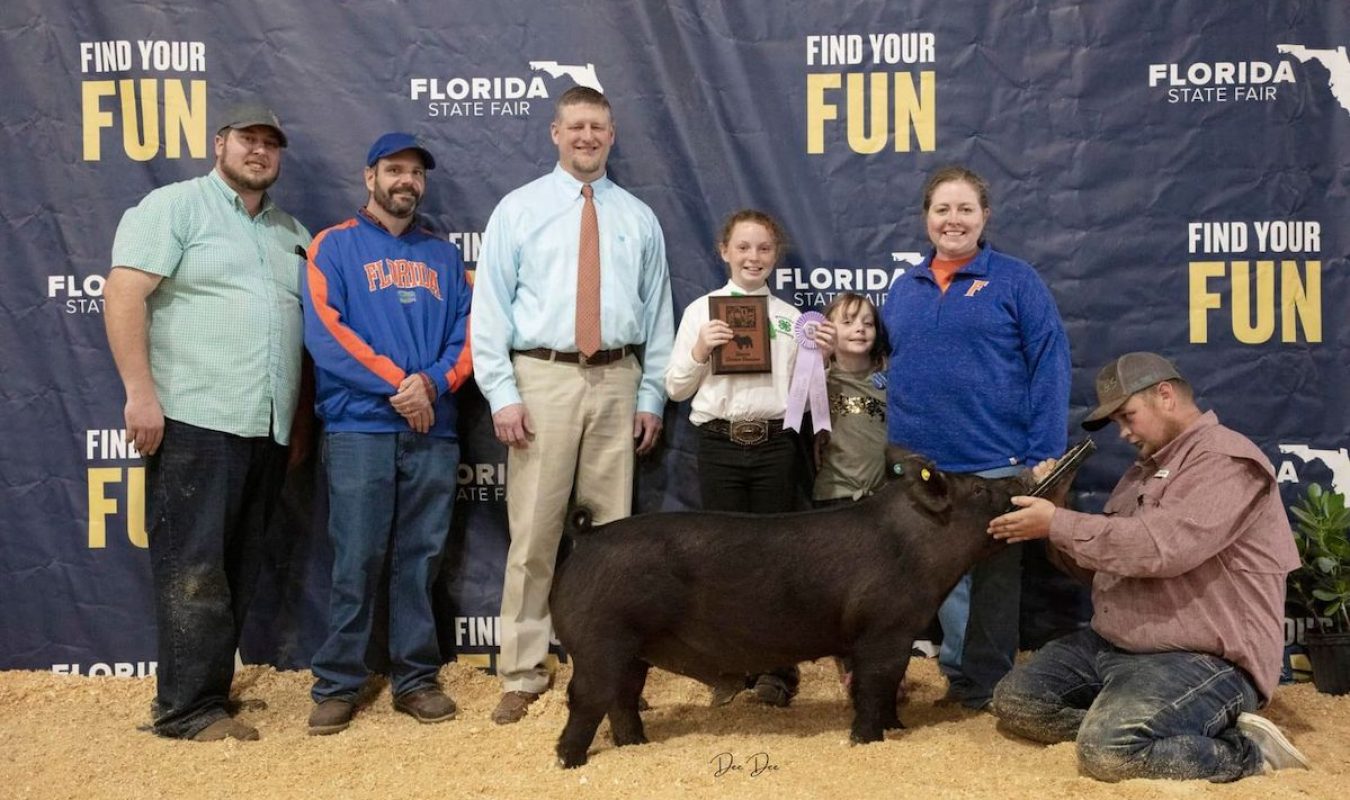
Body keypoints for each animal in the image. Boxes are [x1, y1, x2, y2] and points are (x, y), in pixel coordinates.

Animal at [550, 447, 1031, 766]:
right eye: (978, 488)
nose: (1020, 479)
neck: (916, 548)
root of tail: (588, 537)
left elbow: (885, 686)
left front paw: (898, 727)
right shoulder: (884, 630)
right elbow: (875, 684)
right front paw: (868, 741)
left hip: (631, 650)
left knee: (623, 697)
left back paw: (636, 746)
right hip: (599, 640)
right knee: (587, 697)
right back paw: (568, 761)